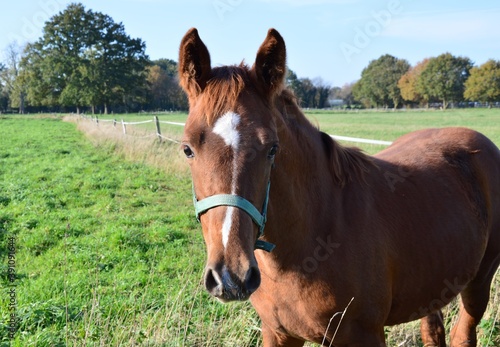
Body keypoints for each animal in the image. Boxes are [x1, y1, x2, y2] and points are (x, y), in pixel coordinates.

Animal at [178, 27, 498, 347]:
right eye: (187, 149)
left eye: (272, 149)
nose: (231, 277)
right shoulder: (278, 333)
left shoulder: (364, 335)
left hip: (478, 284)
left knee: (463, 334)